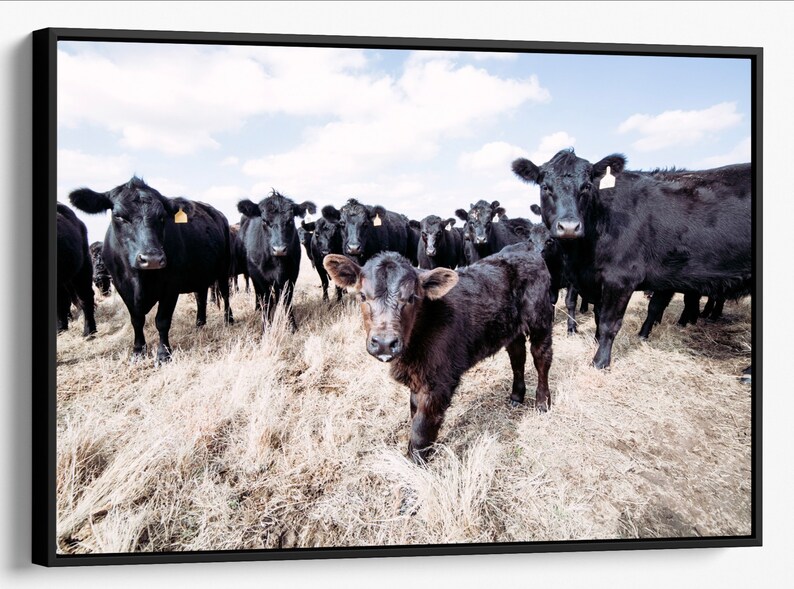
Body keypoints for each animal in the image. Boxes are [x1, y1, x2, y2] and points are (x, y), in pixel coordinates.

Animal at [69, 177, 234, 363]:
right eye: (118, 215)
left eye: (162, 216)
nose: (152, 259)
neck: (140, 279)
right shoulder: (122, 286)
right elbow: (137, 320)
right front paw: (138, 351)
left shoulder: (171, 287)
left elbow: (162, 320)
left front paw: (163, 354)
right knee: (200, 296)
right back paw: (200, 323)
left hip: (224, 269)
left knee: (225, 293)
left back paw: (228, 319)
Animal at [237, 191, 316, 330]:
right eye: (264, 221)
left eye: (290, 221)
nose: (279, 249)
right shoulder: (258, 276)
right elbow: (266, 300)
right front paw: (266, 327)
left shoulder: (292, 274)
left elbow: (287, 300)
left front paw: (291, 326)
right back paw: (258, 308)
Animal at [323, 241, 553, 464]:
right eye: (362, 295)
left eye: (412, 297)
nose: (384, 343)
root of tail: (525, 248)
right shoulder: (418, 378)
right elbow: (414, 411)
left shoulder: (438, 381)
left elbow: (421, 426)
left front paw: (415, 463)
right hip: (511, 327)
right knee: (517, 356)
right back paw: (516, 396)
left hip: (540, 318)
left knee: (541, 358)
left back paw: (542, 403)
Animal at [512, 149, 751, 373]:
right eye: (545, 187)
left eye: (587, 186)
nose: (569, 227)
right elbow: (598, 316)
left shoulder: (620, 279)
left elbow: (609, 323)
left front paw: (600, 362)